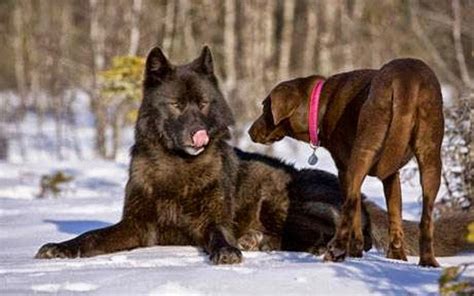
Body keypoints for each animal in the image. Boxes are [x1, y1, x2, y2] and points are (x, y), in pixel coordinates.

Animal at [250, 58, 446, 268]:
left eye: (264, 107)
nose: (250, 131)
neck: (320, 105)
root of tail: (406, 78)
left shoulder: (344, 169)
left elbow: (356, 212)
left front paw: (355, 250)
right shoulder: (392, 176)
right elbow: (394, 215)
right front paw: (396, 257)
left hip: (363, 151)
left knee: (350, 205)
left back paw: (336, 251)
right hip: (431, 156)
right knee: (426, 217)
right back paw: (428, 260)